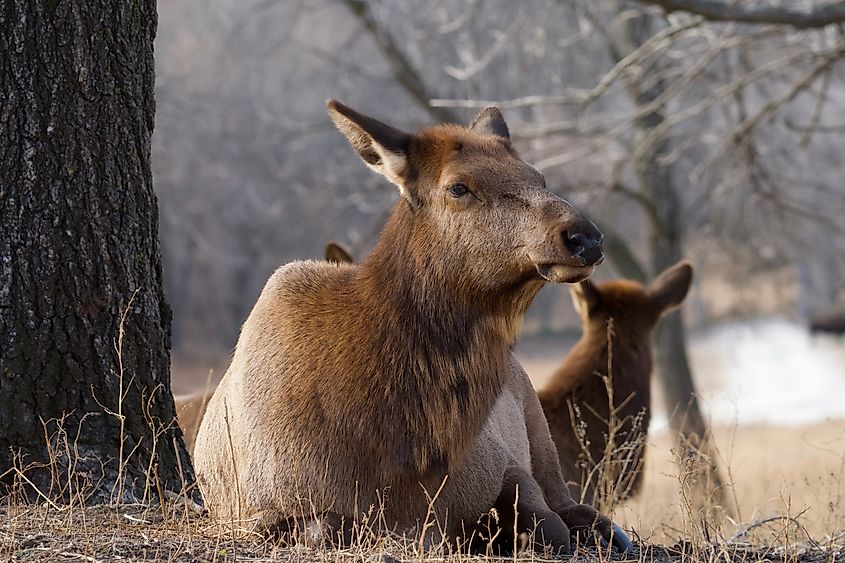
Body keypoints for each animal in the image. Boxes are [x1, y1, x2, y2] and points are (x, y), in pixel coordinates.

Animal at [193, 100, 631, 554]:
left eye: (538, 176)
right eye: (458, 187)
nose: (584, 237)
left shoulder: (504, 464)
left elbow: (550, 526)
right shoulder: (263, 512)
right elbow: (325, 527)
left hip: (539, 431)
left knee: (569, 502)